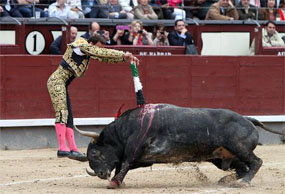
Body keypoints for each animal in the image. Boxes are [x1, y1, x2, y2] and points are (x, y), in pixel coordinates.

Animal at [74, 104, 284, 188]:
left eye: (95, 153)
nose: (101, 174)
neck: (125, 130)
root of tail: (248, 119)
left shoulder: (134, 150)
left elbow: (123, 164)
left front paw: (114, 183)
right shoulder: (142, 159)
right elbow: (122, 166)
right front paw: (118, 181)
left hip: (239, 148)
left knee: (256, 162)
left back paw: (243, 183)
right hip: (223, 157)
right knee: (243, 168)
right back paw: (227, 181)